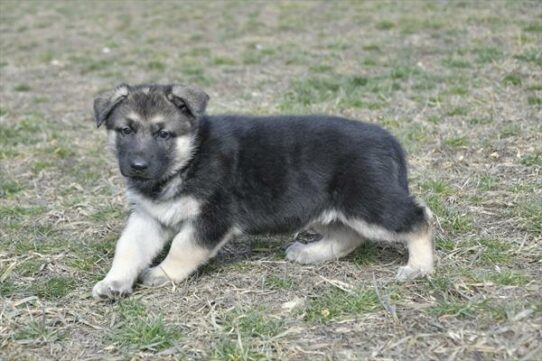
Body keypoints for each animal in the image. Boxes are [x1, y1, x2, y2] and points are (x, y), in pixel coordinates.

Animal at [91, 82, 436, 298]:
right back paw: (311, 253)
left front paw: (163, 274)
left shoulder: (212, 218)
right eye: (126, 131)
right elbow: (128, 248)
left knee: (418, 219)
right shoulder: (148, 217)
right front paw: (114, 282)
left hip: (367, 202)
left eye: (163, 134)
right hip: (324, 206)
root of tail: (389, 140)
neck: (189, 158)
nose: (137, 166)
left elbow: (183, 246)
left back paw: (418, 267)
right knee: (349, 235)